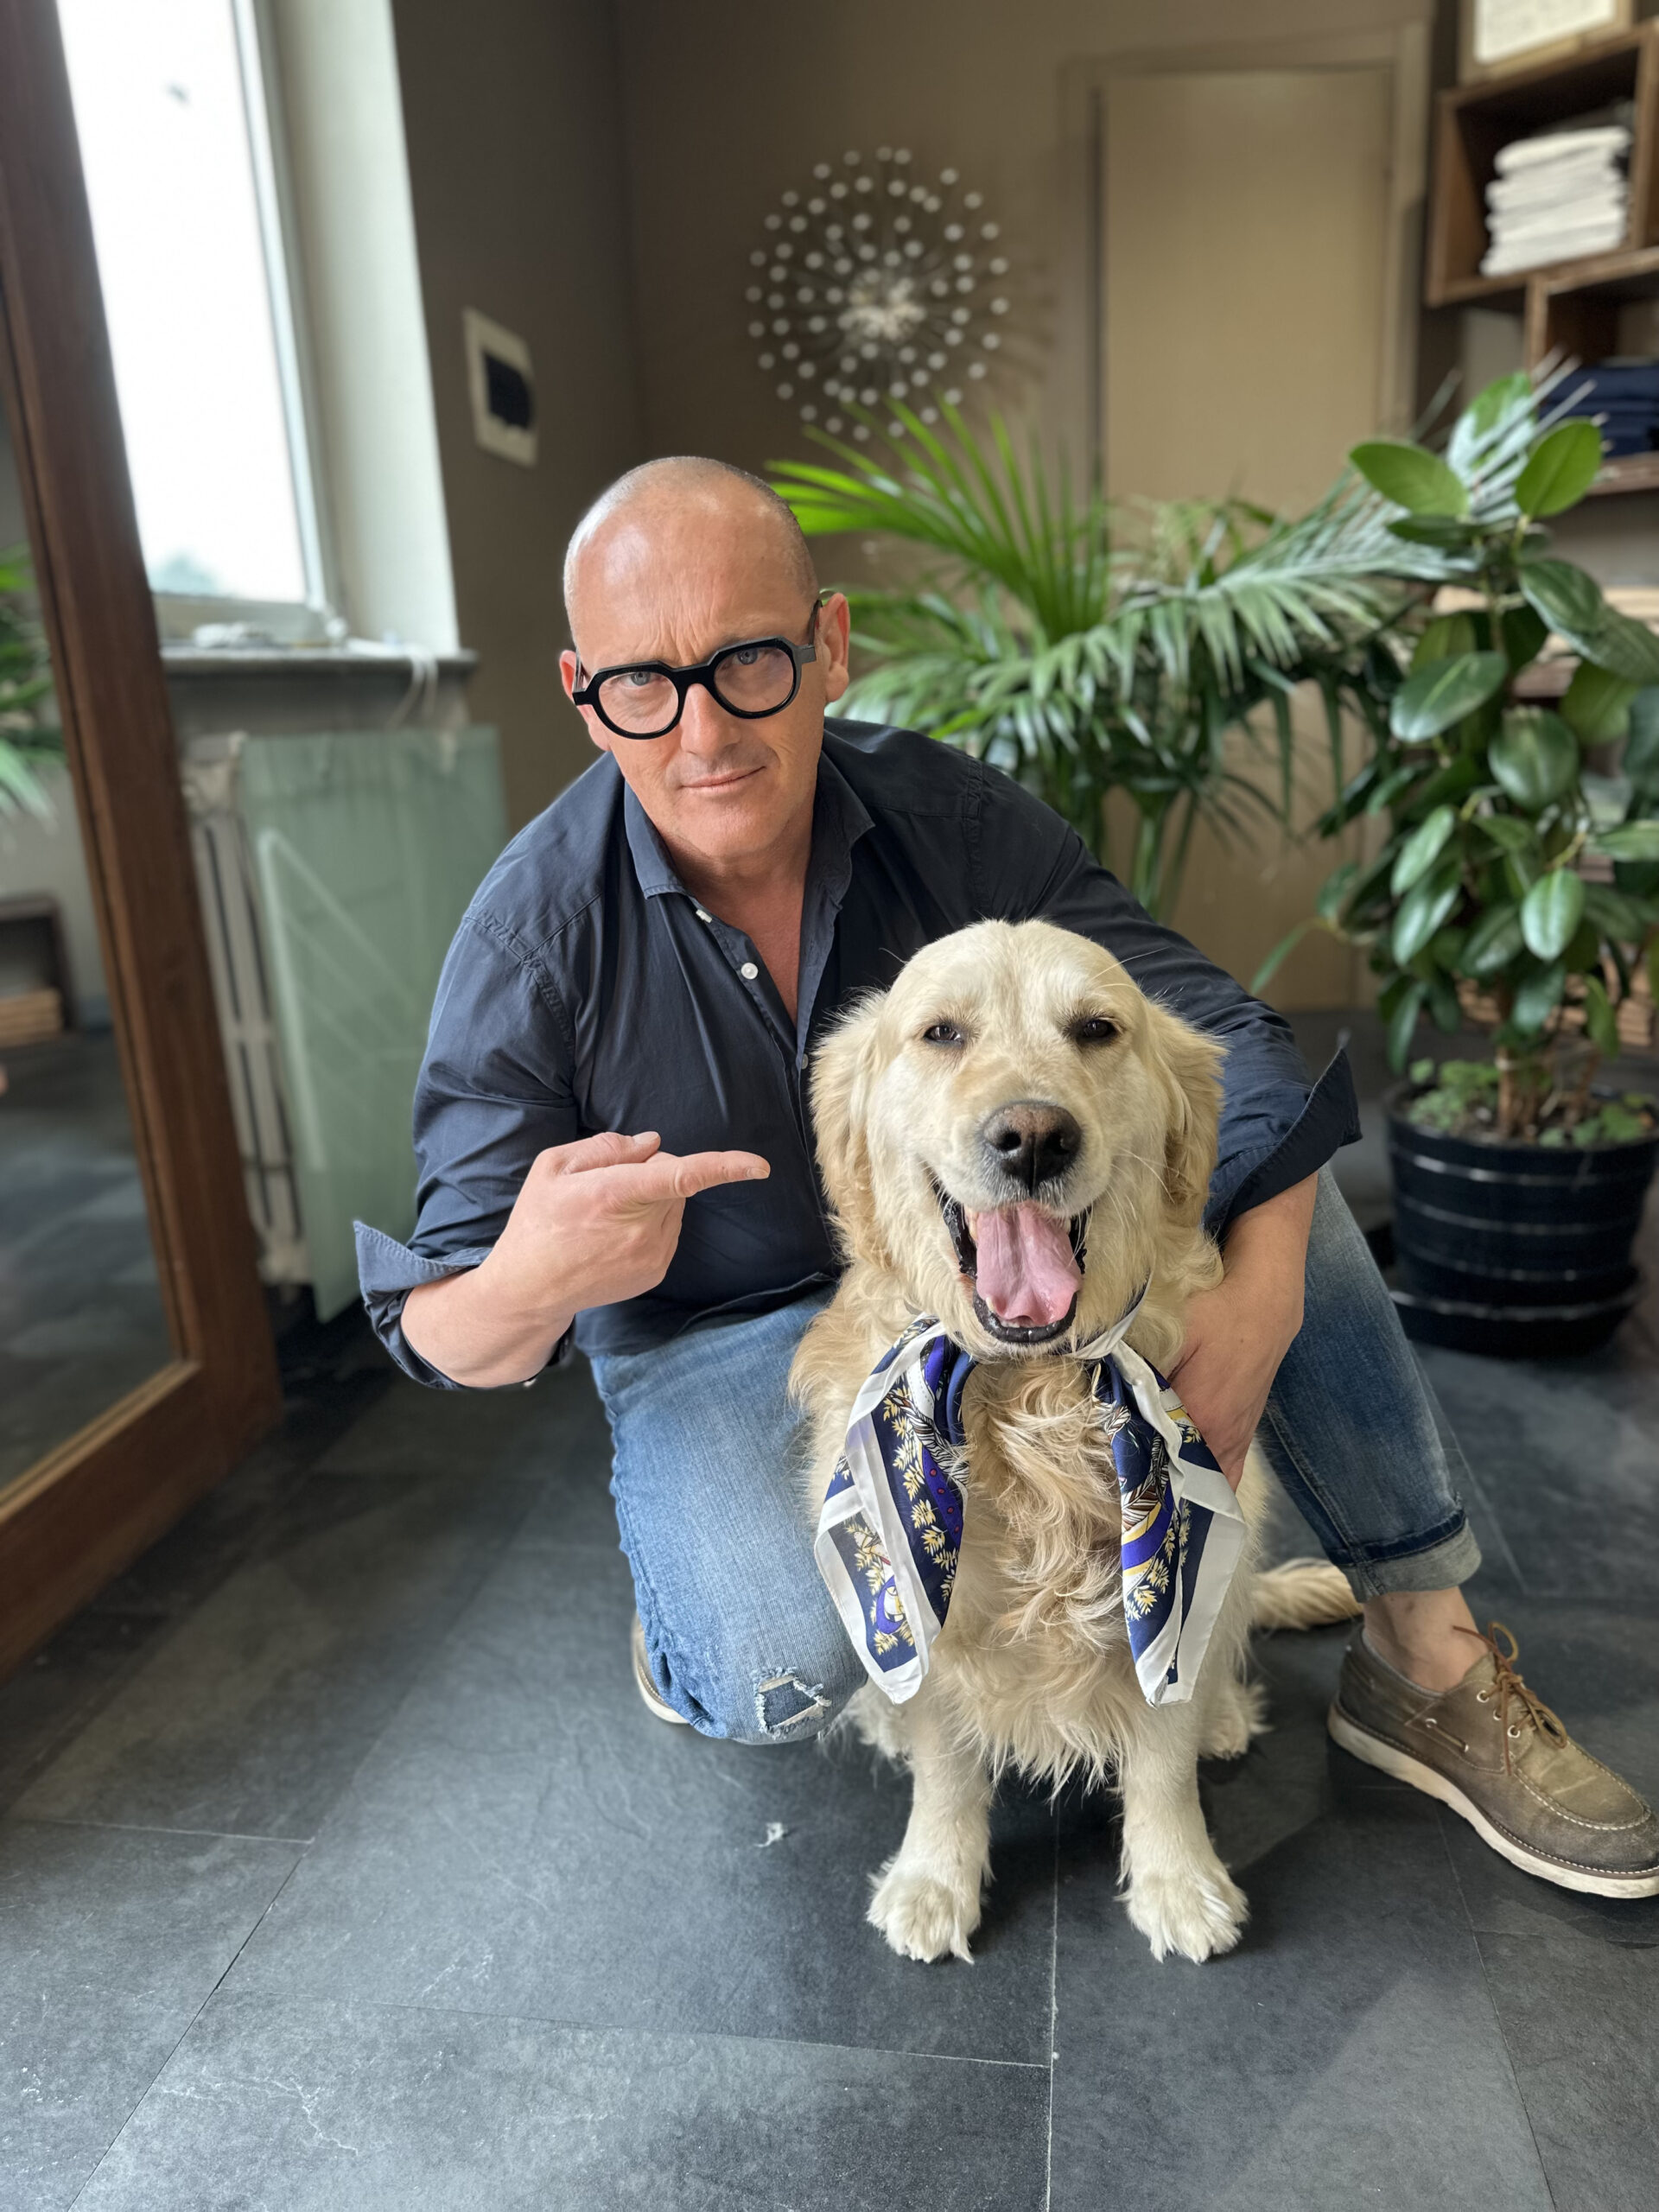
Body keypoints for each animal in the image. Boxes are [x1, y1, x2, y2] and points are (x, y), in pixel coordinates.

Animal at [789, 918, 1356, 1965]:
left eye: (1097, 1029)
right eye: (941, 1032)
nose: (1033, 1137)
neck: (1029, 1391)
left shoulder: (1175, 1570)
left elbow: (1164, 1757)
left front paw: (1180, 1881)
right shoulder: (932, 1592)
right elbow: (944, 1762)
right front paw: (934, 1879)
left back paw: (1222, 1715)